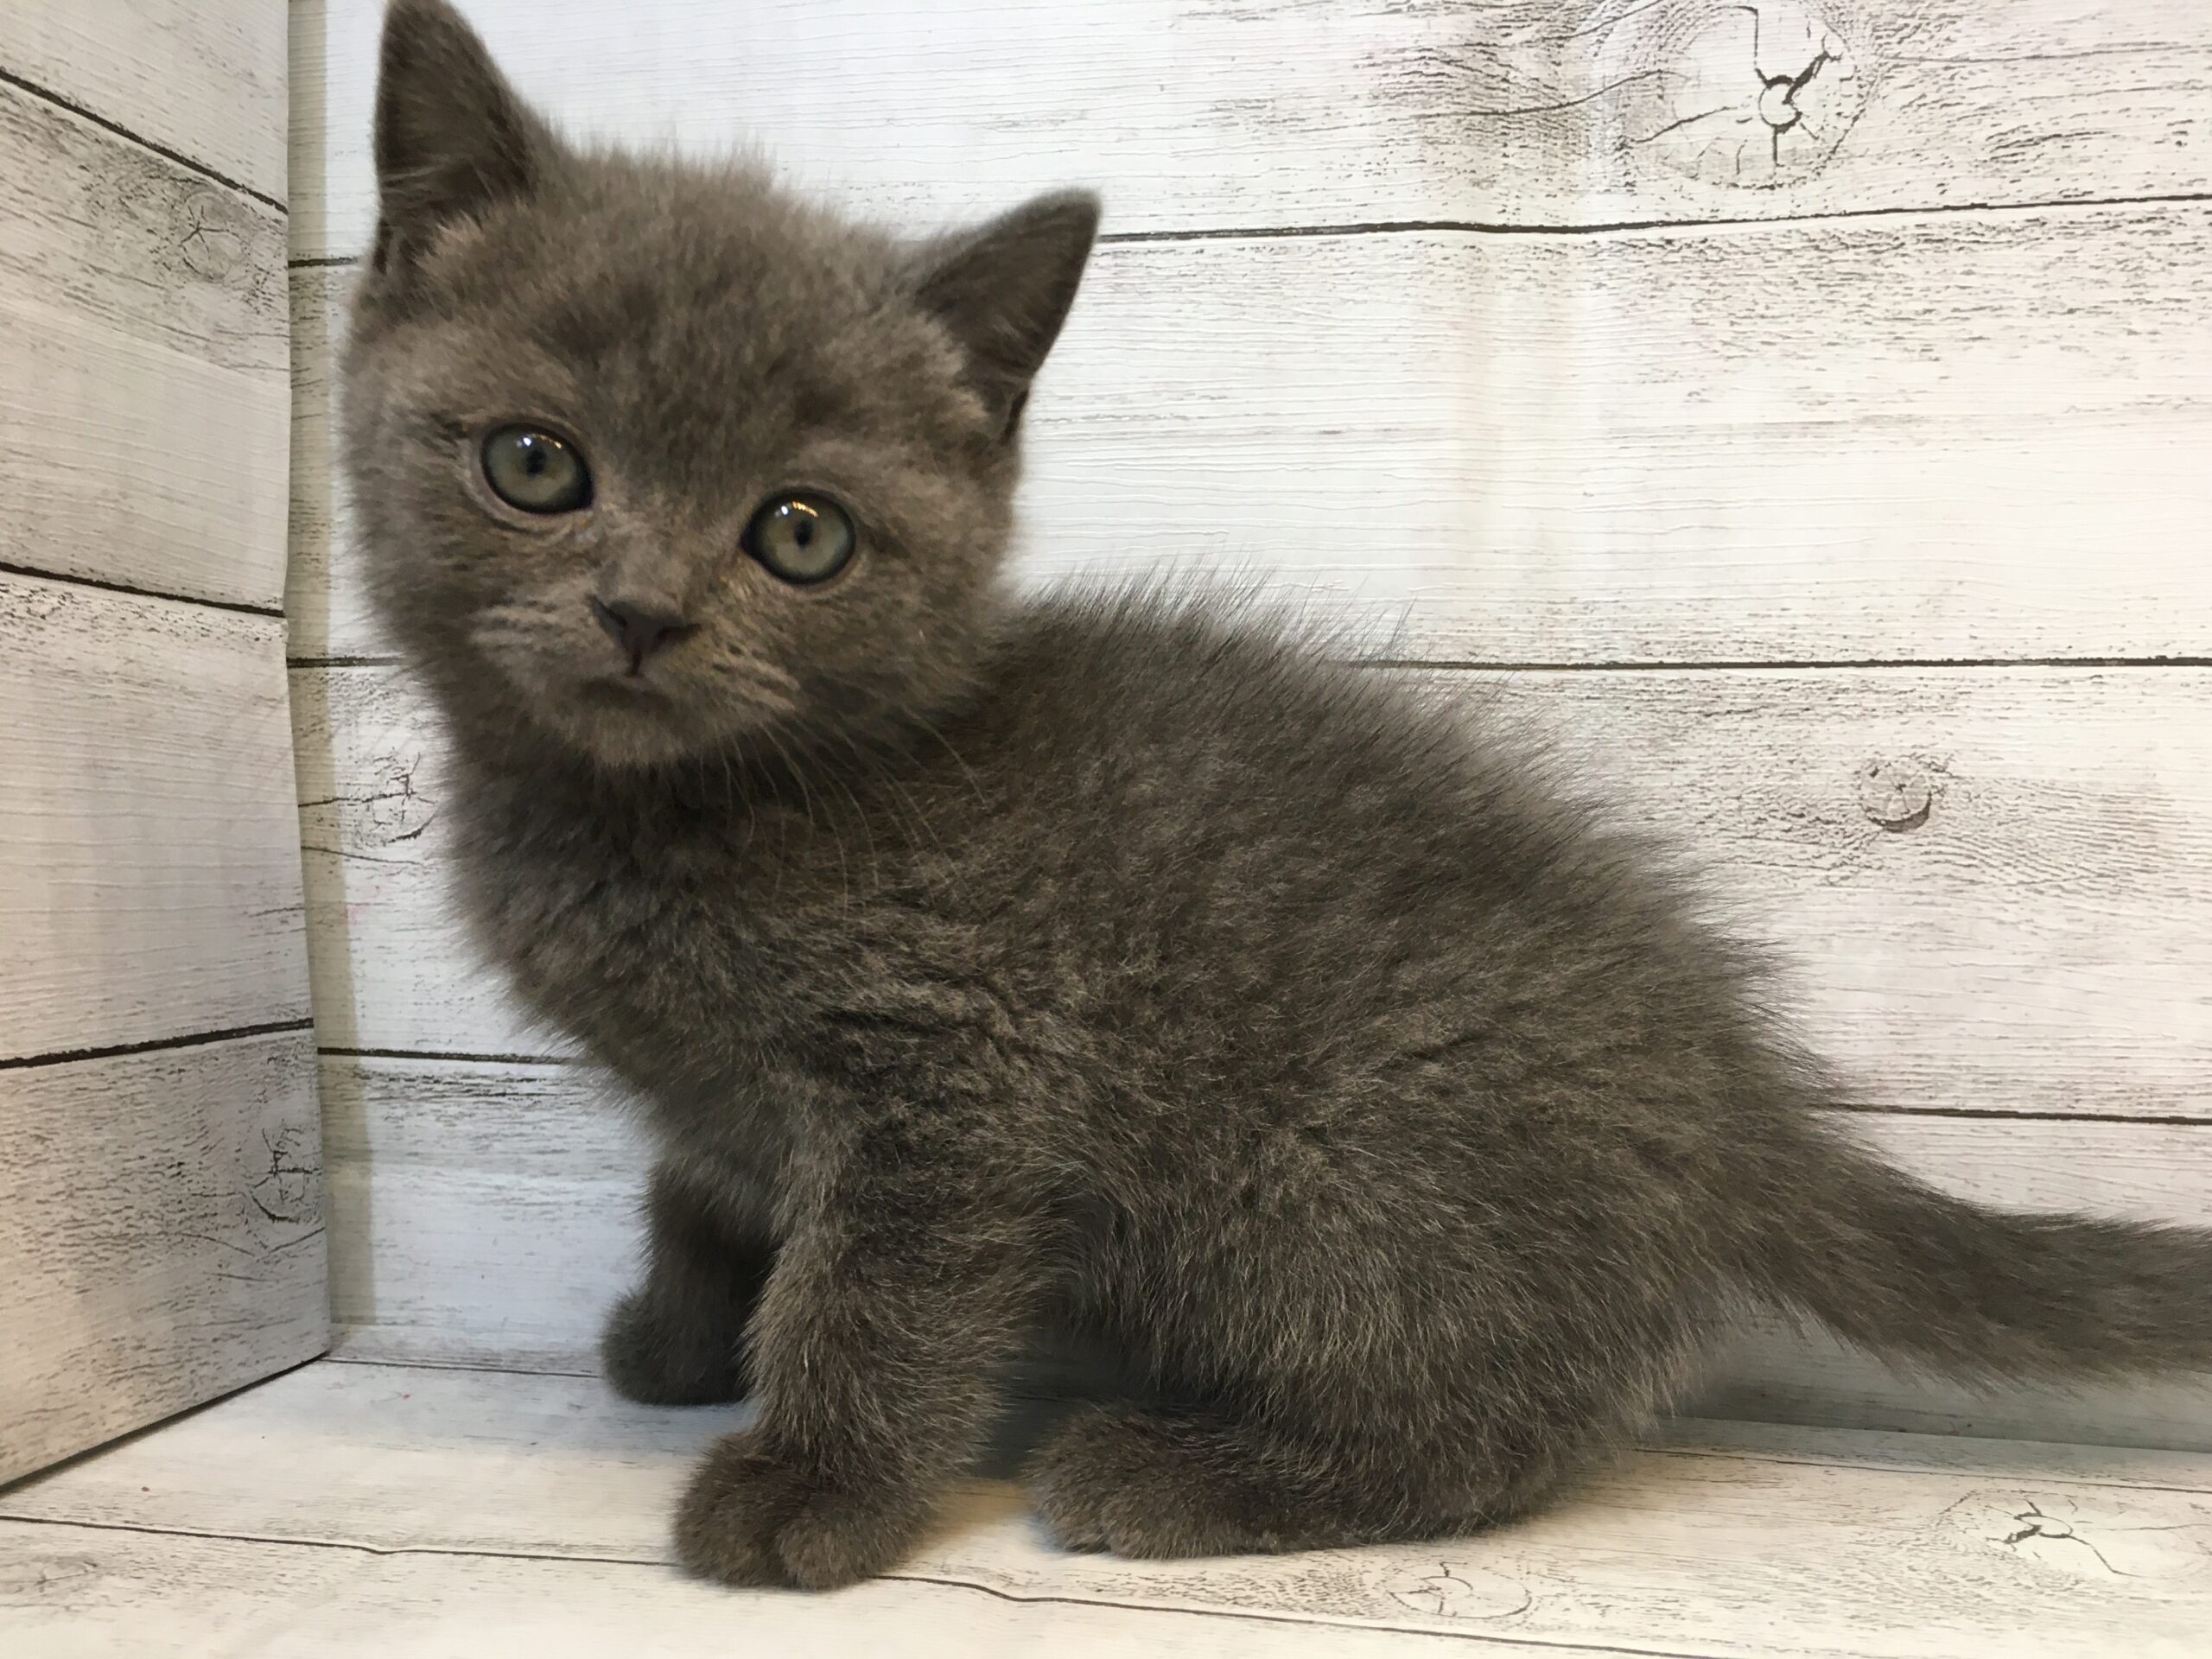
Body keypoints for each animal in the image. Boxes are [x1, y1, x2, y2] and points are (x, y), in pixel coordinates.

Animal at [349, 3, 2212, 1601]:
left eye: (799, 532)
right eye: (535, 463)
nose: (642, 612)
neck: (666, 816)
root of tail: (1736, 1102)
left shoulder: (951, 1076)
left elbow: (877, 1294)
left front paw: (810, 1486)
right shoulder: (719, 1091)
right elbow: (700, 1187)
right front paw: (676, 1339)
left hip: (1334, 1172)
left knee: (1504, 1422)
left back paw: (1180, 1472)